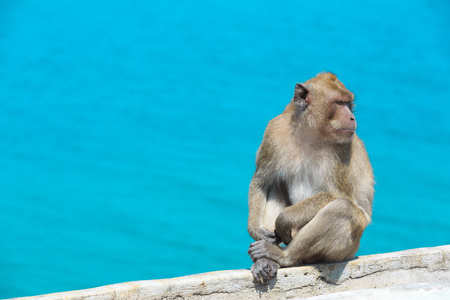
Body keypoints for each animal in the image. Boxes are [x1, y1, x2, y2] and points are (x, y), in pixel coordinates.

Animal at [246, 72, 372, 284]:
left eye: (348, 103)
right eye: (339, 103)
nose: (352, 117)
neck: (310, 135)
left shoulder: (342, 149)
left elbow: (337, 195)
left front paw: (283, 220)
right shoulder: (274, 131)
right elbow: (262, 181)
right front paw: (256, 231)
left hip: (347, 249)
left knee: (343, 209)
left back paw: (284, 256)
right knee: (276, 183)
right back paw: (265, 261)